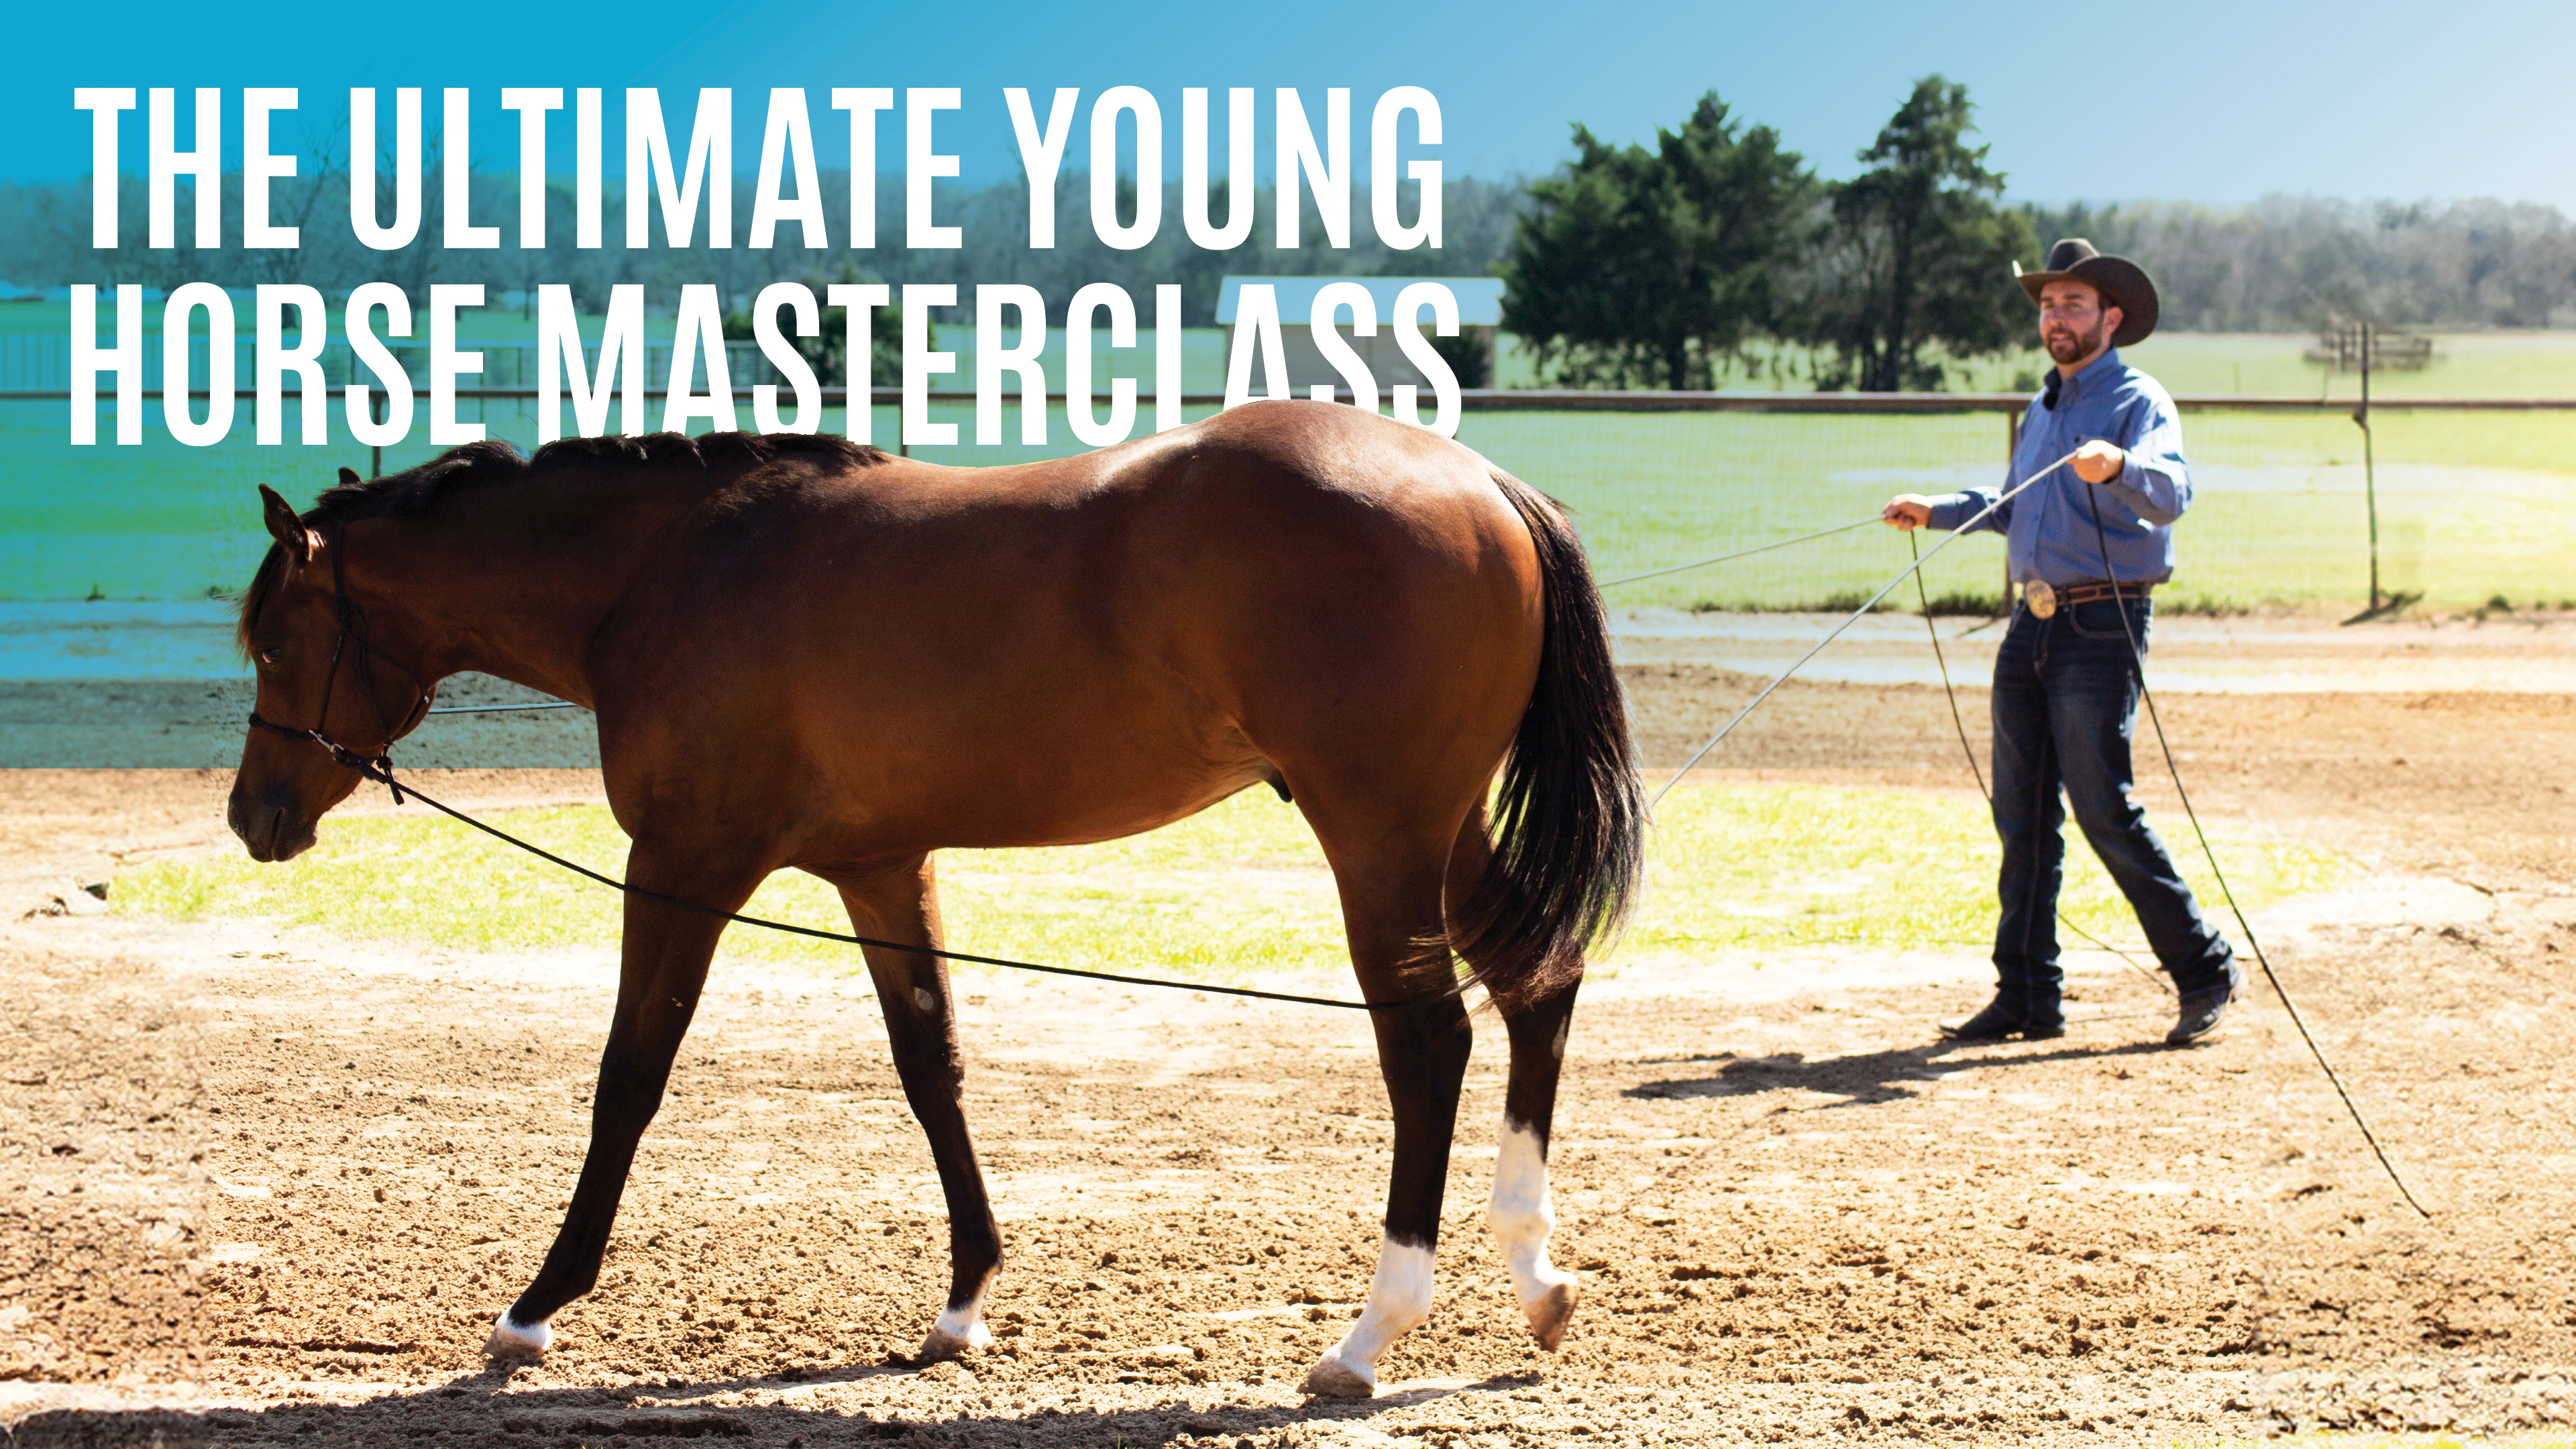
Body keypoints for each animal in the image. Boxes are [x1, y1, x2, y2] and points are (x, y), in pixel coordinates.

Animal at [224, 399, 1643, 1397]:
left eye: (278, 638)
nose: (254, 814)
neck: (676, 566)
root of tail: (1483, 484)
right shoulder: (878, 868)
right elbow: (932, 1069)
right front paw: (964, 1307)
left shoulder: (684, 864)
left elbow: (630, 1076)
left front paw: (534, 1309)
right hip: (1439, 831)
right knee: (1537, 983)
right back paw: (1537, 1278)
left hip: (1377, 835)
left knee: (1429, 1043)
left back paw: (1368, 1338)